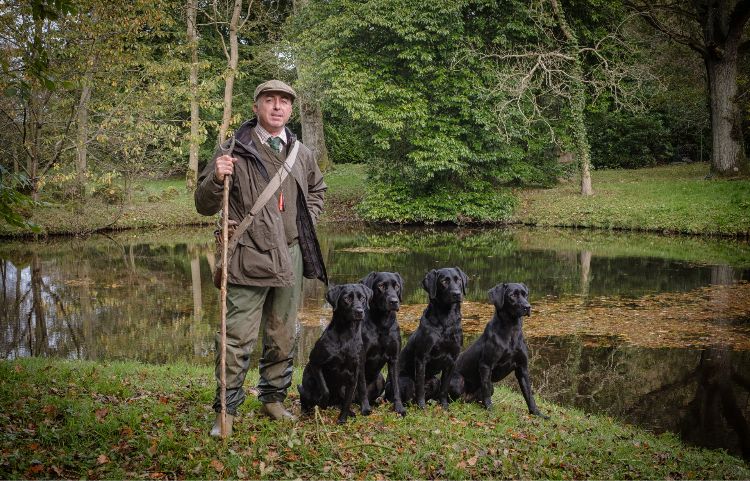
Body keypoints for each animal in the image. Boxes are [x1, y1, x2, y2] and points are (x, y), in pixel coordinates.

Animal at [298, 284, 372, 422]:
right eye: (346, 298)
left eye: (363, 298)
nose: (359, 311)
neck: (346, 336)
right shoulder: (315, 363)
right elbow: (325, 389)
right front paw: (322, 403)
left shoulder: (354, 374)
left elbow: (348, 400)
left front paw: (342, 420)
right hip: (308, 379)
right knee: (307, 397)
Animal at [356, 272, 406, 414]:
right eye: (381, 286)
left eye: (397, 286)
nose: (394, 301)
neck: (382, 323)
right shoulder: (361, 358)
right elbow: (362, 386)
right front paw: (365, 408)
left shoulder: (394, 359)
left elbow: (396, 387)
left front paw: (399, 408)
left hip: (380, 379)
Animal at [390, 268, 468, 406]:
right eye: (444, 281)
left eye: (458, 279)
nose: (457, 294)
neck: (446, 320)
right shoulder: (422, 358)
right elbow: (420, 386)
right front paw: (422, 407)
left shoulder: (452, 359)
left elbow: (444, 387)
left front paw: (444, 406)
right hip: (405, 381)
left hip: (438, 381)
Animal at [450, 282, 548, 416]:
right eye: (512, 295)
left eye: (525, 294)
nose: (528, 307)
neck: (512, 330)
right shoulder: (486, 365)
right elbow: (486, 390)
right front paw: (490, 410)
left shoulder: (522, 368)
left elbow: (528, 394)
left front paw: (536, 413)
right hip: (458, 380)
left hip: (490, 388)